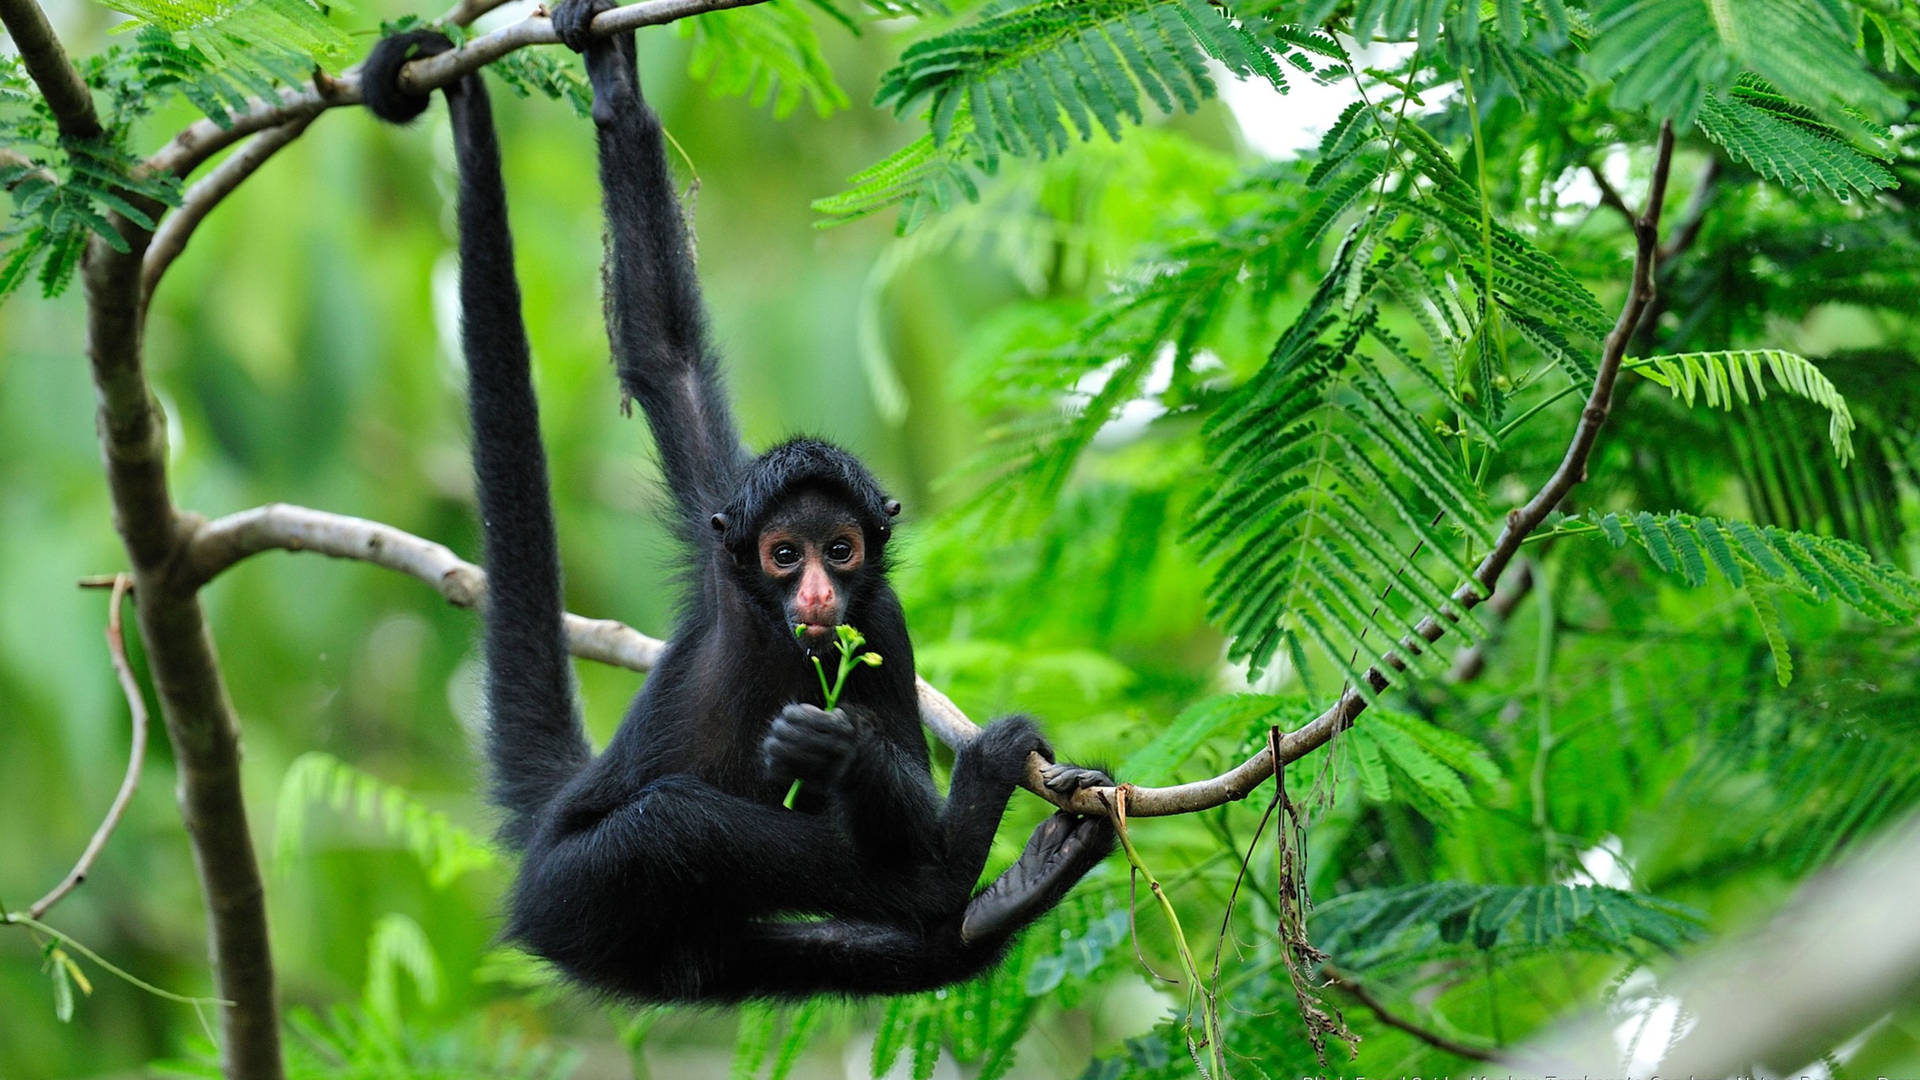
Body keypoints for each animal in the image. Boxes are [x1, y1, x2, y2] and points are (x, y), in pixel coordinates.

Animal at [360, 0, 1121, 999]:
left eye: (840, 550)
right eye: (783, 555)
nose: (816, 594)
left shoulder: (877, 617)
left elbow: (663, 350)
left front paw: (845, 751)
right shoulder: (726, 530)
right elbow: (665, 354)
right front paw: (613, 79)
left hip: (691, 949)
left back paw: (996, 899)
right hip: (576, 890)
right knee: (672, 825)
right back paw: (956, 868)